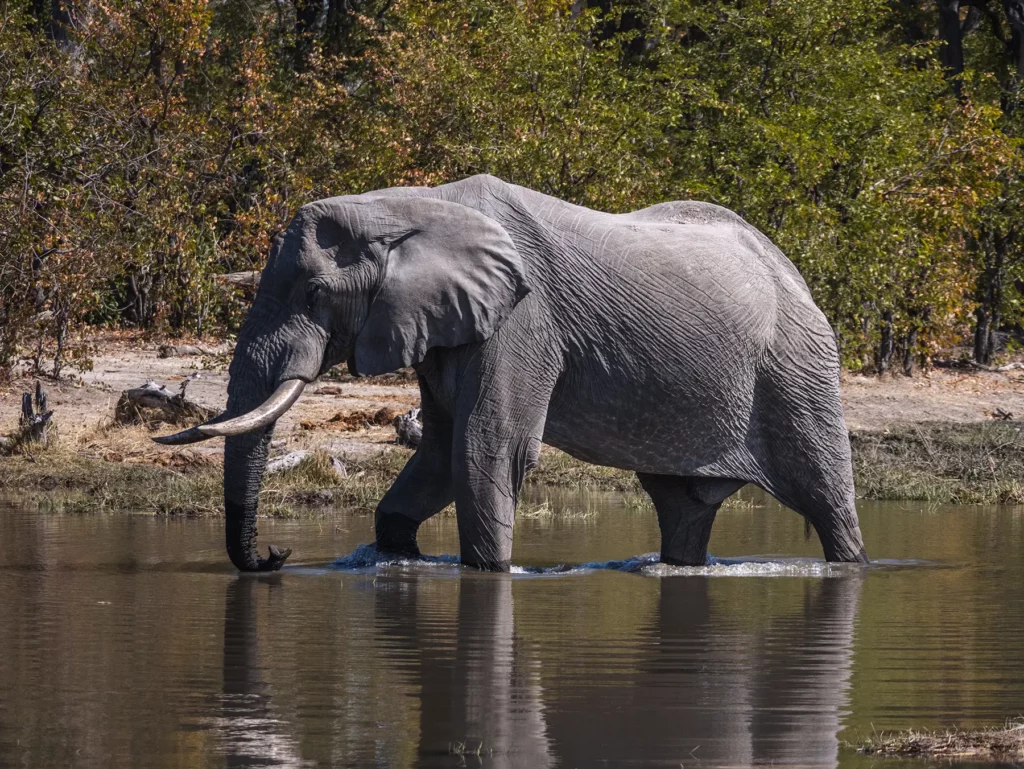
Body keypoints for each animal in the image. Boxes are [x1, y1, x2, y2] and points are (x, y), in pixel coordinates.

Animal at [156, 174, 868, 572]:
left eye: (312, 293)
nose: (275, 557)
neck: (409, 206)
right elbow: (441, 451)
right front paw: (398, 554)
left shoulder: (523, 322)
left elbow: (486, 447)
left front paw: (490, 572)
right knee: (684, 508)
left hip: (797, 366)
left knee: (827, 498)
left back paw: (852, 564)